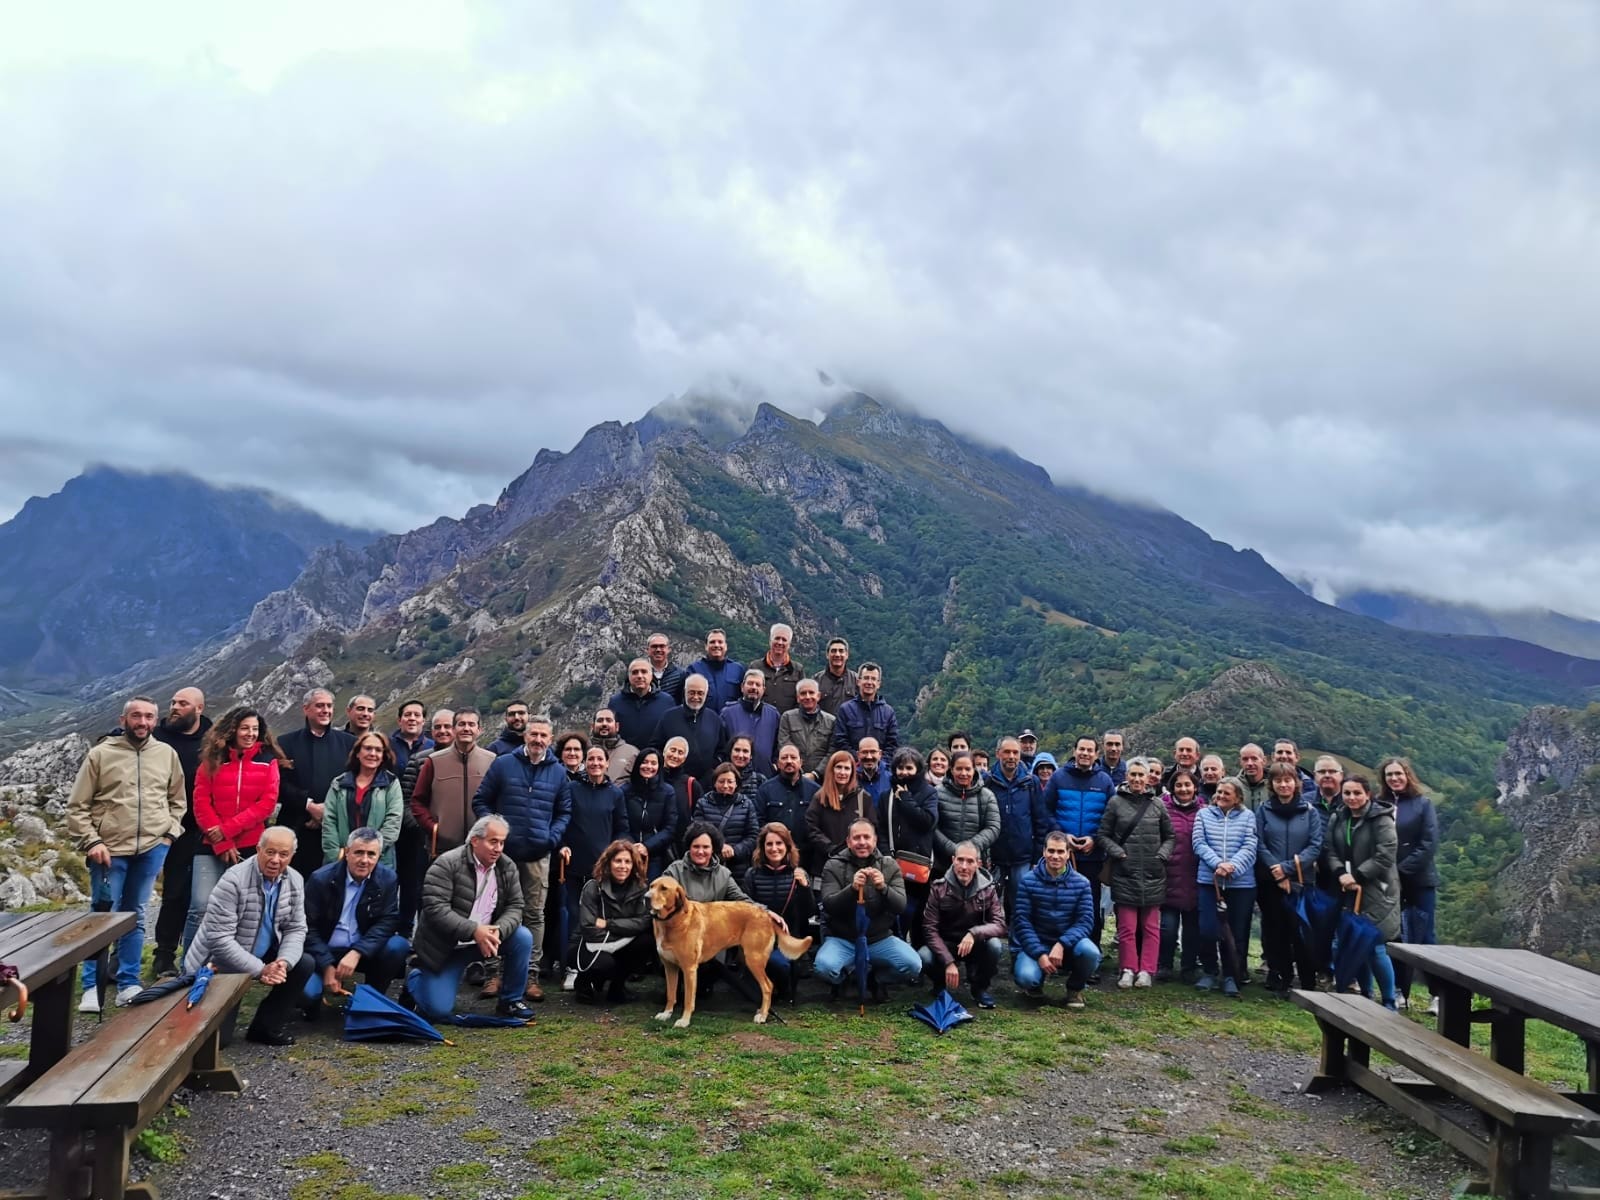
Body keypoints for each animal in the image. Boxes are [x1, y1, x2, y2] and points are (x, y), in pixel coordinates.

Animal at [643, 876, 812, 1036]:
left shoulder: (689, 969)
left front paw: (684, 1021)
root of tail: (765, 914)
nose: (645, 897)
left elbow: (688, 1000)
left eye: (664, 888)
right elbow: (671, 995)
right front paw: (666, 1013)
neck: (671, 920)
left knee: (768, 986)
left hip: (754, 959)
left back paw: (763, 1015)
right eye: (651, 886)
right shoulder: (670, 967)